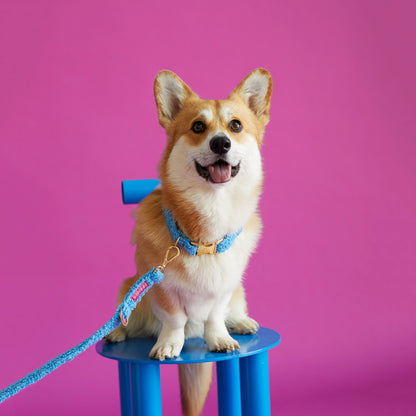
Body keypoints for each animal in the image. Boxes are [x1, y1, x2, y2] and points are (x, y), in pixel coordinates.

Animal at [106, 69, 272, 416]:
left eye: (236, 126)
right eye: (198, 127)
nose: (221, 142)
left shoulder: (224, 287)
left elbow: (215, 315)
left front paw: (219, 338)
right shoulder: (160, 287)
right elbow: (175, 319)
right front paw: (170, 344)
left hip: (238, 292)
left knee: (232, 310)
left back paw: (241, 322)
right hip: (128, 286)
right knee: (125, 313)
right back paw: (116, 331)